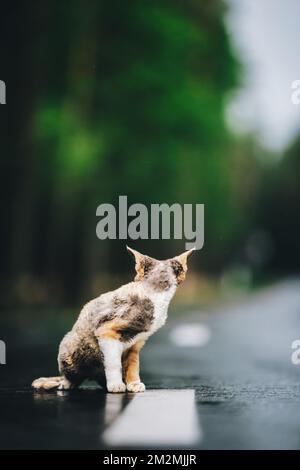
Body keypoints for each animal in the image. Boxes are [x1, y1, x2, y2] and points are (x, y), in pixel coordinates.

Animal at [32, 246, 195, 392]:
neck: (154, 293)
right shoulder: (106, 330)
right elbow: (113, 362)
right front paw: (116, 385)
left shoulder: (136, 344)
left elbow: (133, 365)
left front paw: (134, 384)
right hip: (69, 347)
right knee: (69, 376)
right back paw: (67, 384)